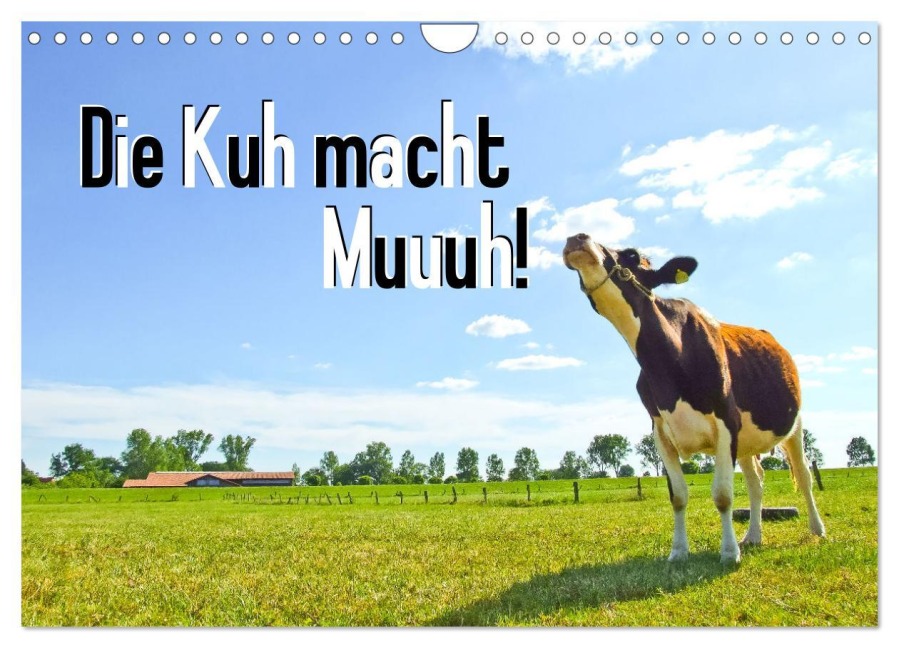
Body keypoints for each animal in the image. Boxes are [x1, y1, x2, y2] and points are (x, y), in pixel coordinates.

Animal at [562, 233, 825, 564]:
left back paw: (817, 529)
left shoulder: (726, 420)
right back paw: (752, 536)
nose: (577, 237)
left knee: (803, 475)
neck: (669, 365)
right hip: (746, 441)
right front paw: (678, 551)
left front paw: (728, 552)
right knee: (756, 482)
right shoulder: (661, 430)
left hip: (795, 424)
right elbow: (678, 496)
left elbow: (723, 495)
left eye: (633, 255)